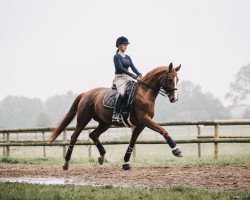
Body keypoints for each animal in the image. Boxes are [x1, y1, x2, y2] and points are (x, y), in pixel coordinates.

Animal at [48, 63, 182, 170]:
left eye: (178, 79)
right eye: (170, 79)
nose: (174, 99)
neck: (145, 93)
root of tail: (86, 93)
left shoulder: (141, 124)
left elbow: (132, 141)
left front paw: (126, 162)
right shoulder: (144, 119)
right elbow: (162, 129)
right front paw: (176, 150)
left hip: (105, 123)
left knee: (93, 135)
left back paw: (102, 156)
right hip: (83, 119)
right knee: (74, 137)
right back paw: (66, 163)